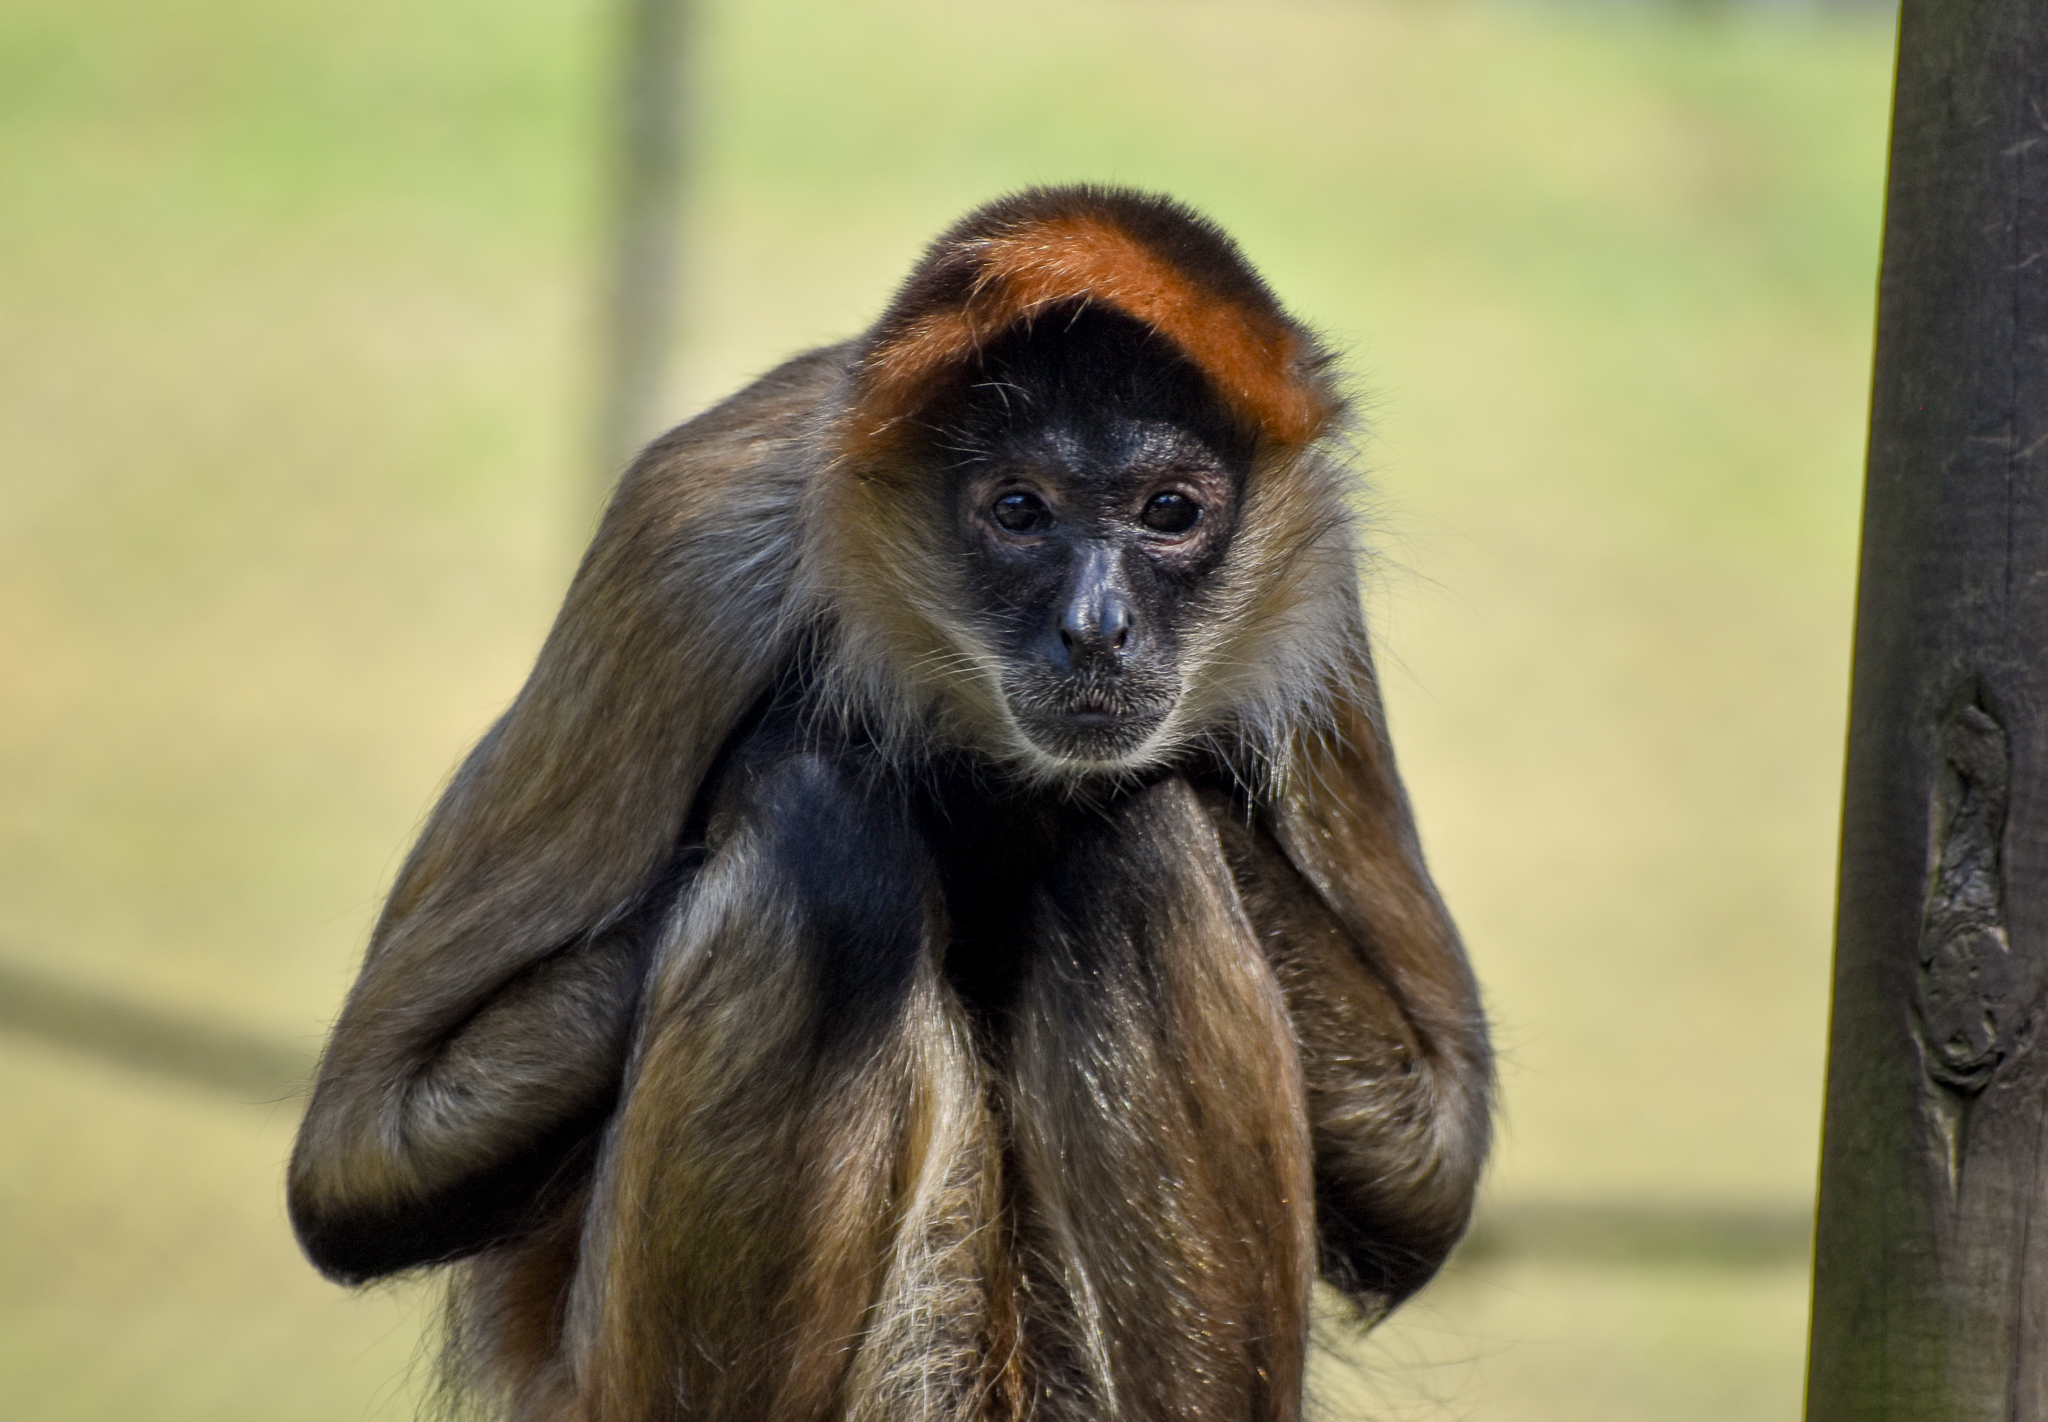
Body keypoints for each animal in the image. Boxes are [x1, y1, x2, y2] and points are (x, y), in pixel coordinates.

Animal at [287, 185, 1491, 1422]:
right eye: (1019, 511)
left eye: (1167, 511)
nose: (1094, 629)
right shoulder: (695, 540)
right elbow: (357, 1165)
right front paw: (940, 782)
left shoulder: (1314, 581)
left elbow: (1426, 1180)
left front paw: (1008, 804)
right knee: (827, 840)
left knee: (1145, 836)